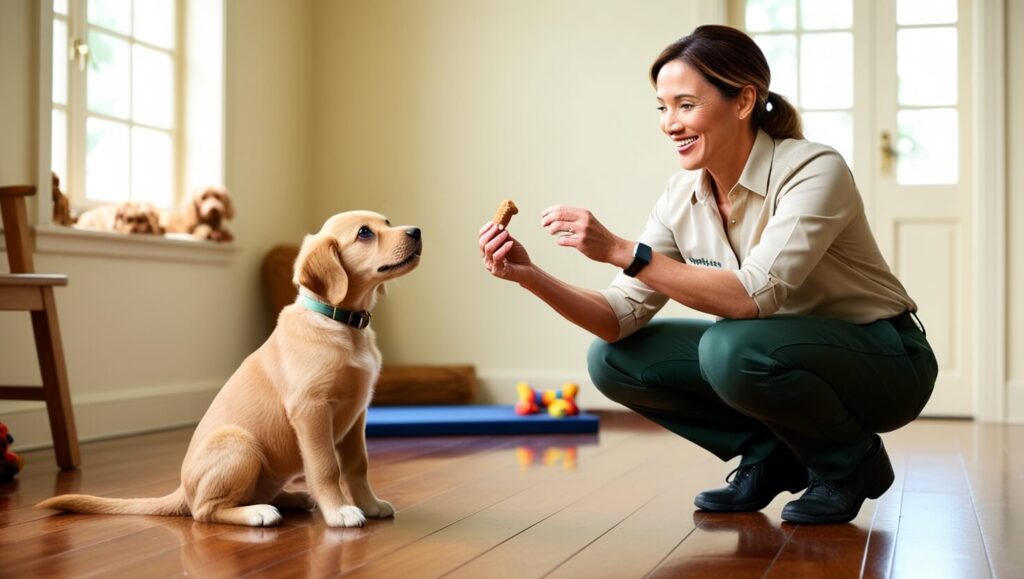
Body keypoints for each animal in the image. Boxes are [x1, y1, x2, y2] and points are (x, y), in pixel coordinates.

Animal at [38, 210, 423, 524]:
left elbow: (358, 465)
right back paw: (258, 513)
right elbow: (326, 466)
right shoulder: (311, 409)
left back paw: (292, 498)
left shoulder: (357, 413)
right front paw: (340, 511)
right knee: (205, 511)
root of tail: (183, 489)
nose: (417, 230)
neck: (340, 321)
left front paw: (370, 505)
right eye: (364, 233)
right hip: (240, 444)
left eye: (387, 222)